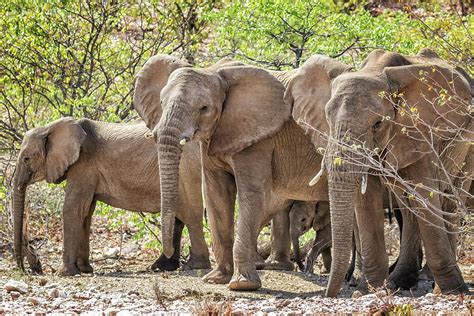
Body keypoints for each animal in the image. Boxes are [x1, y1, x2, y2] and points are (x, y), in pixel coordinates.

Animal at [12, 117, 209, 276]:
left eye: (26, 159)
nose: (27, 270)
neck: (50, 127)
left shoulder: (83, 165)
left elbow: (72, 209)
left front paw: (65, 273)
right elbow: (85, 213)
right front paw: (85, 270)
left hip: (187, 171)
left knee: (191, 215)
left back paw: (194, 266)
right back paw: (162, 267)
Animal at [130, 55, 334, 292]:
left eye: (204, 108)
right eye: (162, 103)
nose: (167, 259)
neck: (215, 73)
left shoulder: (257, 138)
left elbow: (252, 194)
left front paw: (242, 285)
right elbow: (216, 194)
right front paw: (215, 279)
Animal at [284, 48, 472, 296]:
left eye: (377, 124)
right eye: (327, 119)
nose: (329, 295)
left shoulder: (417, 132)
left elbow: (425, 193)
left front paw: (454, 291)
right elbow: (367, 200)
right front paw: (368, 290)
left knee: (450, 199)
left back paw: (432, 284)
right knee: (408, 207)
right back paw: (400, 282)